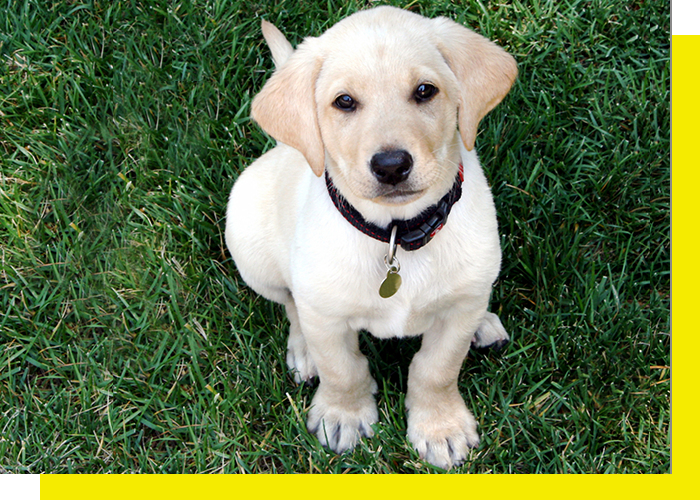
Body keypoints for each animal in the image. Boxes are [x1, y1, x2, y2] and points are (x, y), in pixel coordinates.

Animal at [227, 5, 516, 470]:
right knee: (291, 304)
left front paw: (440, 427)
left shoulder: (457, 314)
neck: (396, 234)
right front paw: (342, 415)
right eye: (344, 101)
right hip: (250, 246)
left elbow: (437, 369)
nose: (392, 165)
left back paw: (484, 324)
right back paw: (303, 351)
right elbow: (342, 368)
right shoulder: (325, 314)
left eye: (424, 91)